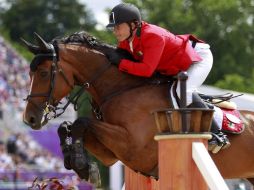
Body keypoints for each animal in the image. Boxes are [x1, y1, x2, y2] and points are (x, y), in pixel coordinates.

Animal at [22, 31, 254, 185]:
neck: (121, 89)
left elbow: (81, 122)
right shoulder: (113, 154)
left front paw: (80, 163)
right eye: (30, 73)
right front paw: (82, 166)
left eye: (43, 73)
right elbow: (67, 126)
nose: (30, 118)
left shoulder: (133, 147)